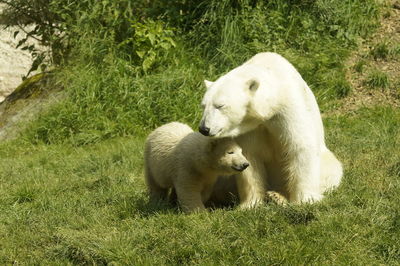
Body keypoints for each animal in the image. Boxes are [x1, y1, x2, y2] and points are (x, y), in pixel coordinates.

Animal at [198, 52, 342, 208]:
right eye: (203, 106)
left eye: (220, 105)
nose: (204, 129)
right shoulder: (250, 128)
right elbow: (249, 156)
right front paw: (250, 204)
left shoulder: (287, 109)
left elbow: (300, 146)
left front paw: (304, 200)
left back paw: (278, 196)